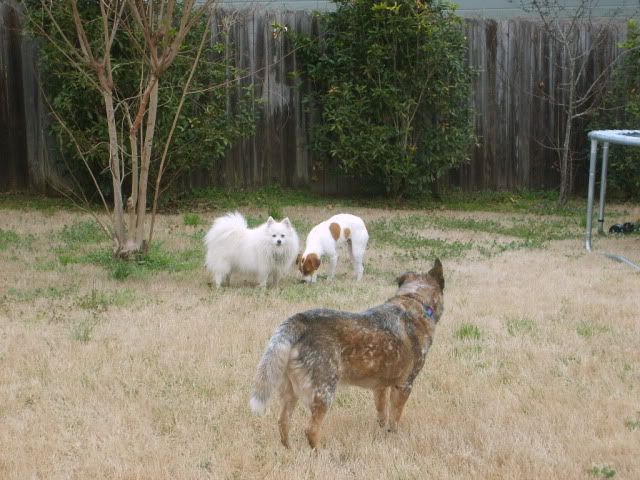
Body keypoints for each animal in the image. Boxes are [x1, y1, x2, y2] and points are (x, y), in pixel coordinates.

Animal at [250, 258, 444, 450]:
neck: (415, 300)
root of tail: (299, 321)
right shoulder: (404, 385)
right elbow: (395, 417)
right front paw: (394, 437)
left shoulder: (380, 387)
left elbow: (382, 415)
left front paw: (382, 435)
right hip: (324, 392)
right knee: (310, 430)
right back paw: (321, 453)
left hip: (290, 391)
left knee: (282, 422)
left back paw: (289, 450)